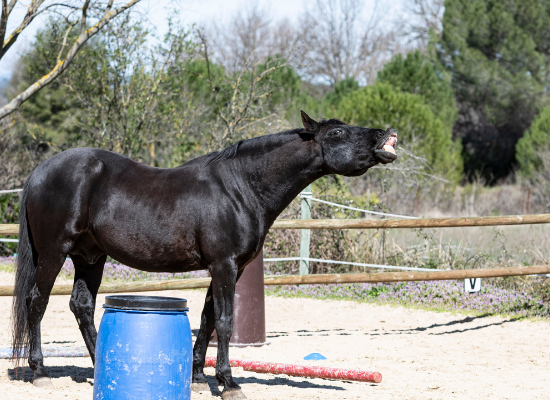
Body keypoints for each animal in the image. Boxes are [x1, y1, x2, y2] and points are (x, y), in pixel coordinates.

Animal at [10, 111, 398, 398]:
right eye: (338, 132)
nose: (386, 135)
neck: (240, 188)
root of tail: (41, 171)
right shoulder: (224, 266)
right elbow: (224, 322)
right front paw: (229, 383)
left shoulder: (228, 268)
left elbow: (208, 319)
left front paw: (198, 379)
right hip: (55, 252)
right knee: (37, 302)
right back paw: (40, 371)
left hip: (90, 257)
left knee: (82, 306)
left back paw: (101, 367)